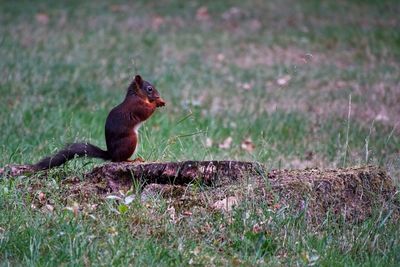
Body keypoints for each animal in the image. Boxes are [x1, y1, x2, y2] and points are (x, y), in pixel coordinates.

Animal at [30, 75, 166, 172]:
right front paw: (157, 103)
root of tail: (111, 154)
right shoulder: (137, 106)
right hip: (130, 139)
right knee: (118, 160)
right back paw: (131, 160)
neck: (137, 95)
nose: (158, 96)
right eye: (149, 89)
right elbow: (146, 112)